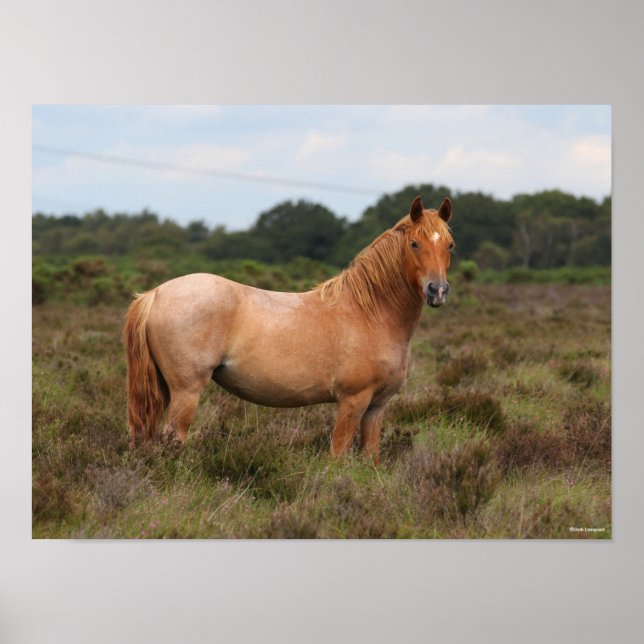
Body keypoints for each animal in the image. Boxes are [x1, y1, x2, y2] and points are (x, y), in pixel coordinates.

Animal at [123, 196, 454, 462]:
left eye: (449, 245)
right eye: (414, 244)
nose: (437, 291)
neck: (370, 313)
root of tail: (155, 294)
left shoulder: (376, 407)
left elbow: (370, 457)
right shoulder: (353, 401)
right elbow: (338, 454)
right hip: (186, 391)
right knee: (173, 440)